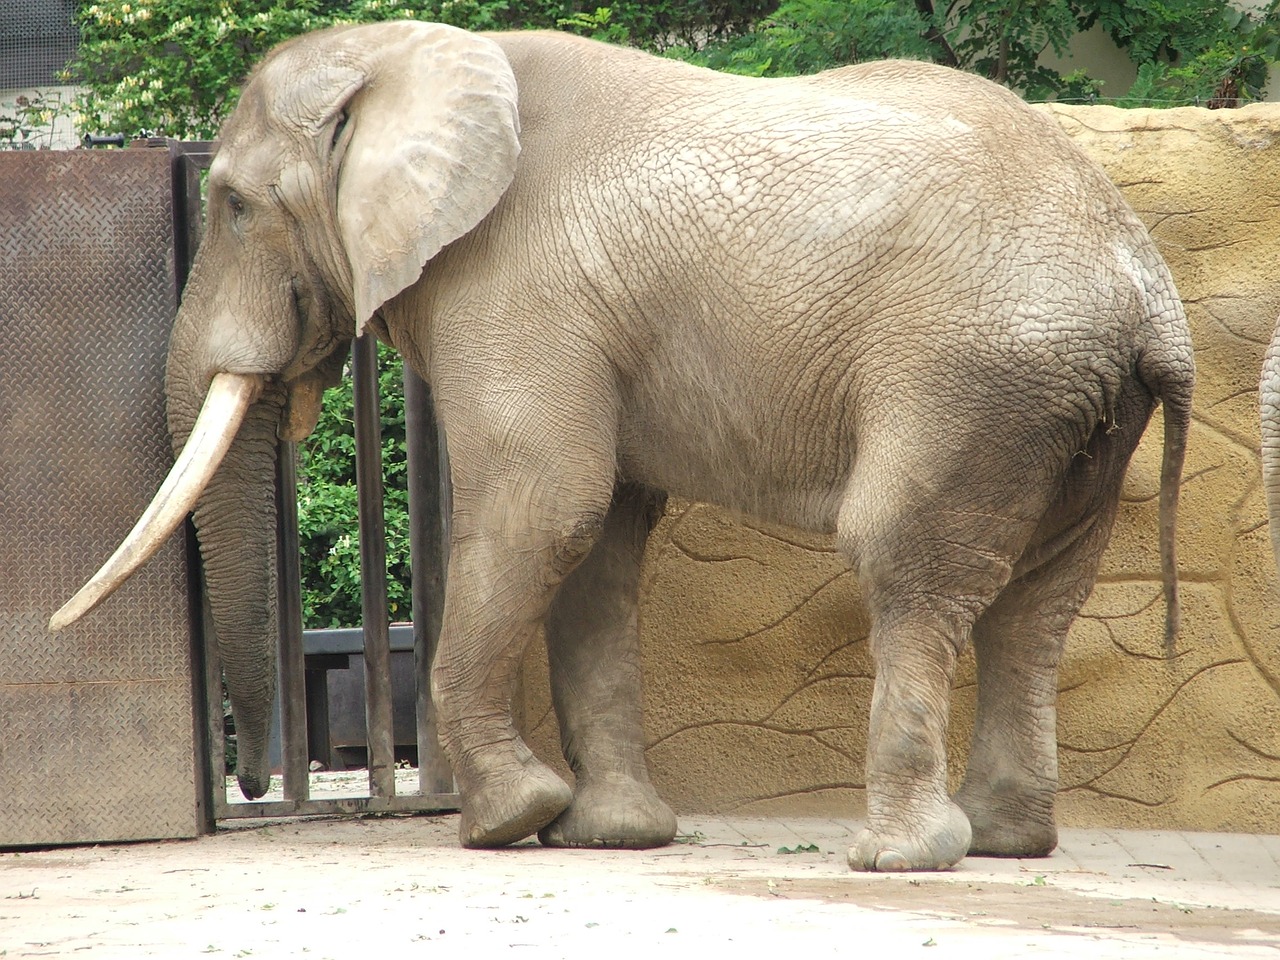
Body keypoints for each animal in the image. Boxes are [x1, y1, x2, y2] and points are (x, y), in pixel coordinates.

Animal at [52, 20, 1187, 870]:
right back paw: (1004, 842)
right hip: (1066, 406)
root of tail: (1138, 278)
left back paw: (897, 857)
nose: (245, 779)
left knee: (904, 559)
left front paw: (509, 823)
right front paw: (610, 836)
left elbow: (545, 504)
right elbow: (598, 541)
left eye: (234, 206)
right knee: (1040, 598)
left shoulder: (512, 284)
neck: (409, 54)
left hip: (968, 374)